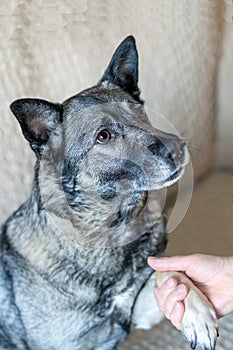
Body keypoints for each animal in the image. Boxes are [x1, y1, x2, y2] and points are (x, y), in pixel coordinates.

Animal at [0, 36, 218, 350]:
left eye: (139, 111)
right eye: (103, 136)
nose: (178, 147)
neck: (111, 227)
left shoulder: (136, 308)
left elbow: (170, 273)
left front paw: (198, 313)